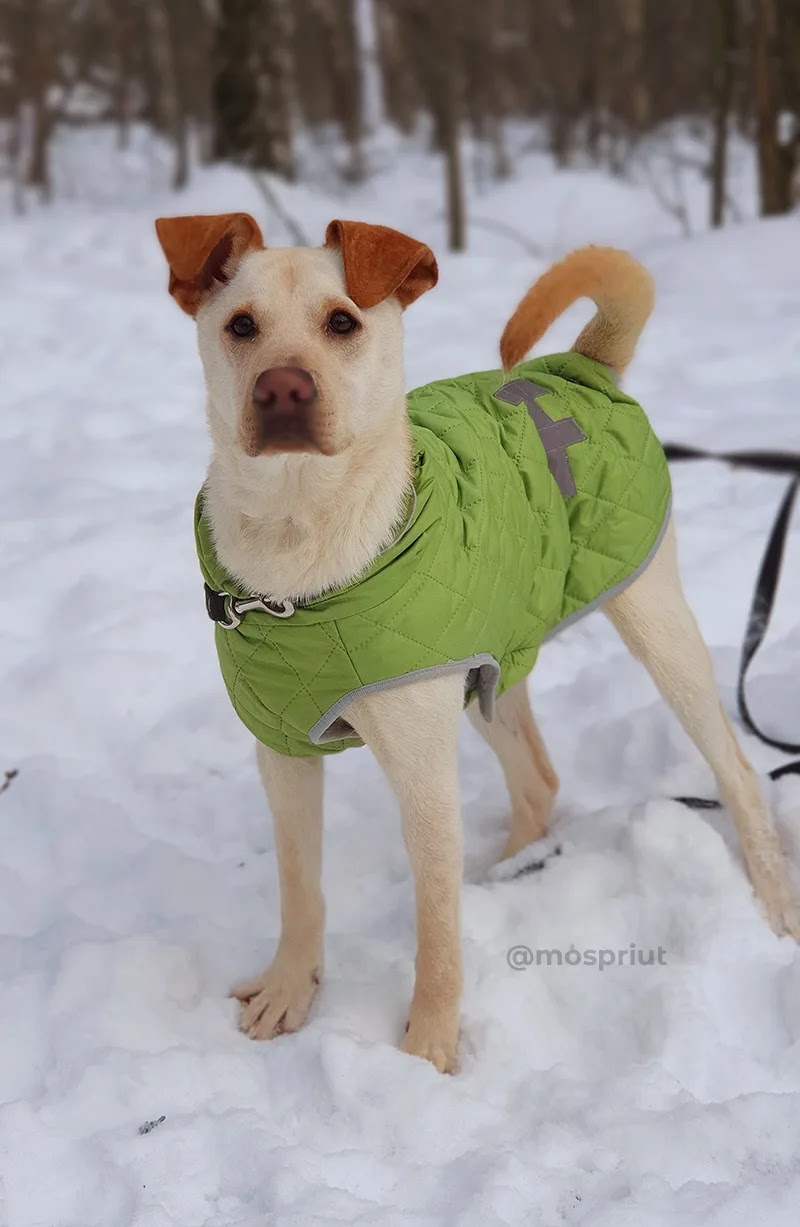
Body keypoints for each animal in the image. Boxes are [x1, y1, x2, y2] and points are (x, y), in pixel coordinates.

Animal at [156, 215, 800, 1069]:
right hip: (492, 659)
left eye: (342, 322)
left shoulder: (423, 768)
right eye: (240, 326)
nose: (283, 388)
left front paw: (426, 1052)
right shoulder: (283, 750)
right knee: (540, 779)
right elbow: (300, 888)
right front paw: (292, 989)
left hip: (658, 628)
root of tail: (581, 362)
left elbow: (436, 928)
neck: (300, 560)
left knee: (736, 770)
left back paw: (774, 899)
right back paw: (511, 867)